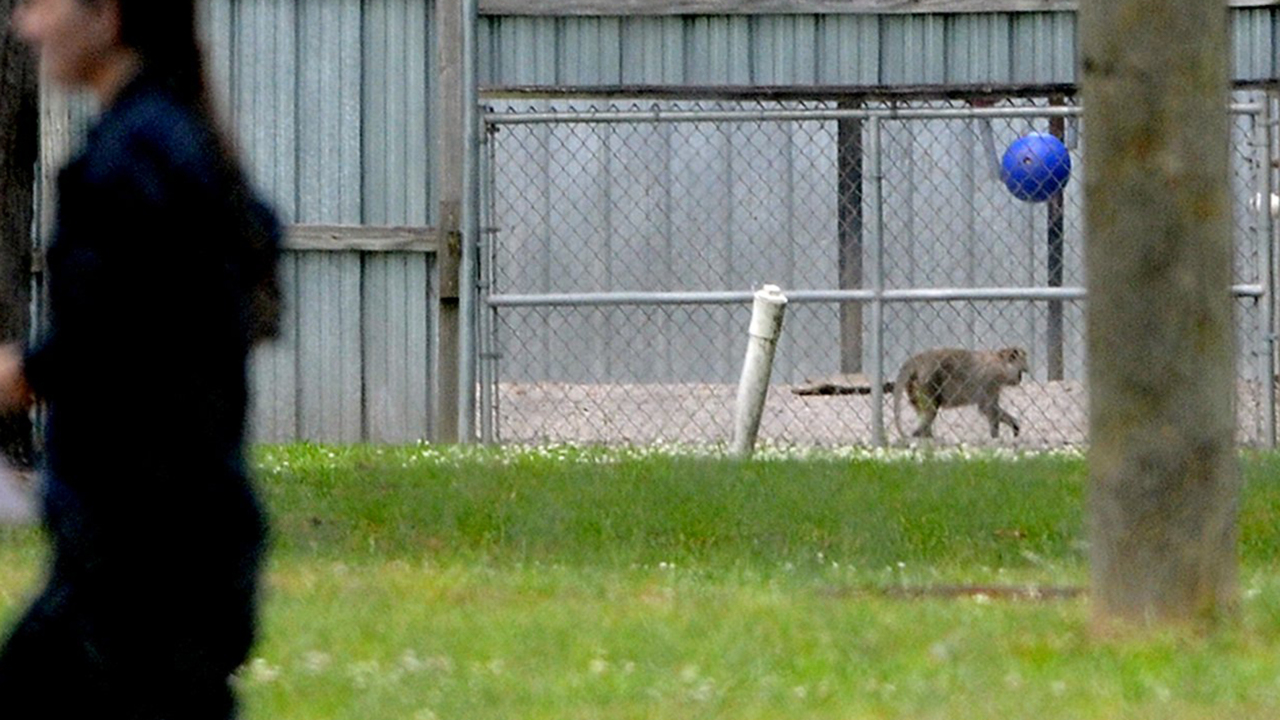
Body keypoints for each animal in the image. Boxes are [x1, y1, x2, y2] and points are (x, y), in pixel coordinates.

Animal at [892, 346, 1029, 440]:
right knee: (931, 409)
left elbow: (991, 407)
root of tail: (919, 360)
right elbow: (987, 408)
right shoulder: (990, 380)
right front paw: (995, 436)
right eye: (1022, 366)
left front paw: (1014, 425)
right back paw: (920, 435)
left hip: (914, 386)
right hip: (928, 379)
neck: (1000, 364)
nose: (1021, 377)